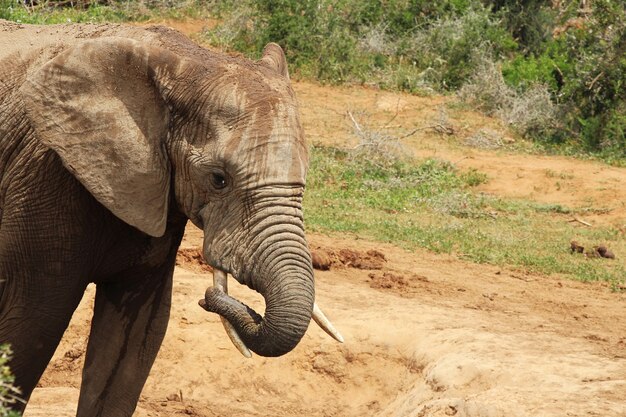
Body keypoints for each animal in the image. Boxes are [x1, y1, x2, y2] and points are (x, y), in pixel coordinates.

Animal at [0, 18, 342, 412]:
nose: (207, 298)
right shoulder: (45, 174)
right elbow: (31, 325)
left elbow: (135, 337)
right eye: (218, 179)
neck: (183, 61)